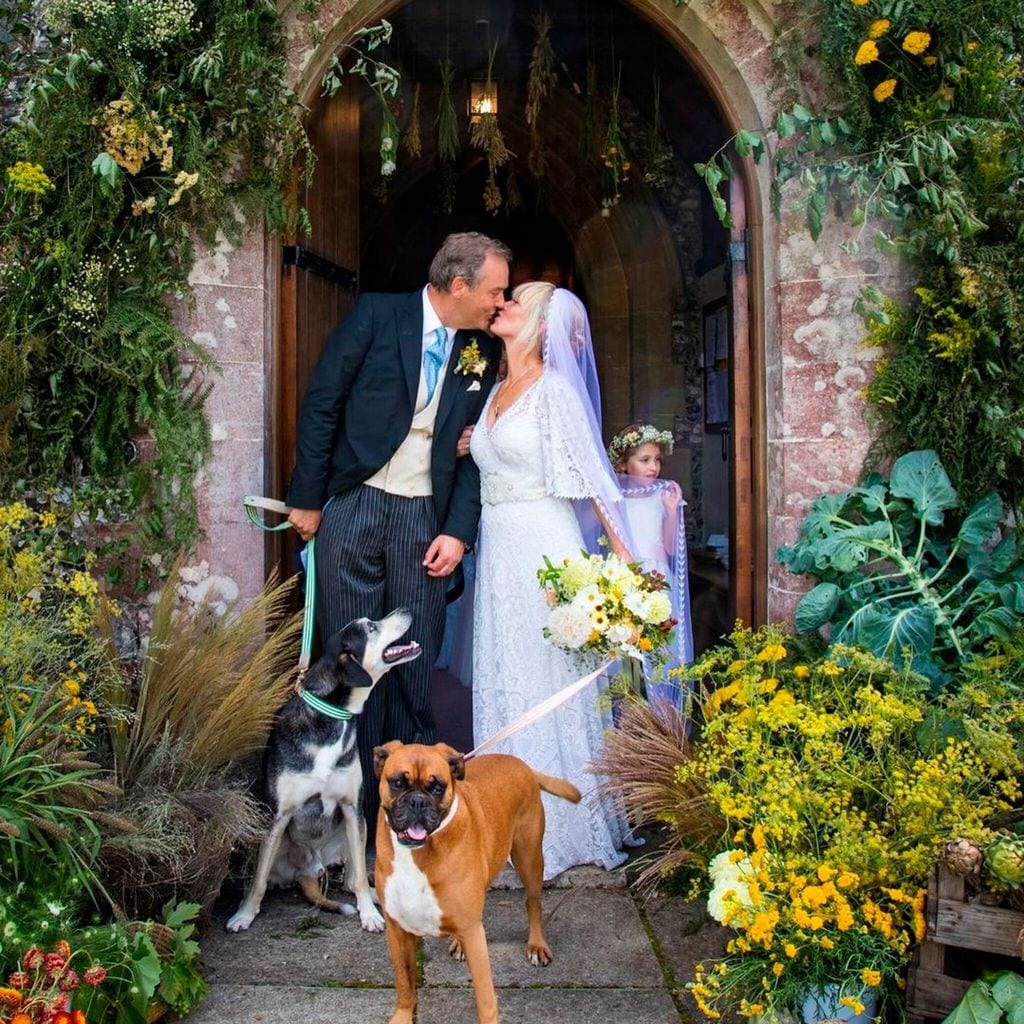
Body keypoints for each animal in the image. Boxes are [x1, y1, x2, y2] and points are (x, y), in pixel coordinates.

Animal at [227, 606, 419, 937]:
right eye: (371, 627)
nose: (405, 609)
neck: (331, 716)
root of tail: (310, 868)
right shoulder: (278, 815)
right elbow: (259, 880)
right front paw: (245, 915)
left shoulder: (352, 806)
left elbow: (358, 877)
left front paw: (369, 915)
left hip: (359, 826)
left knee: (352, 878)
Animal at [376, 741, 585, 1024]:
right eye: (398, 782)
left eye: (438, 787)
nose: (418, 801)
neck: (417, 854)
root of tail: (522, 764)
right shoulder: (397, 930)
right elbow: (404, 983)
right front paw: (403, 1015)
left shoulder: (475, 937)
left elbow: (485, 997)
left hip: (528, 858)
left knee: (533, 903)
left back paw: (537, 945)